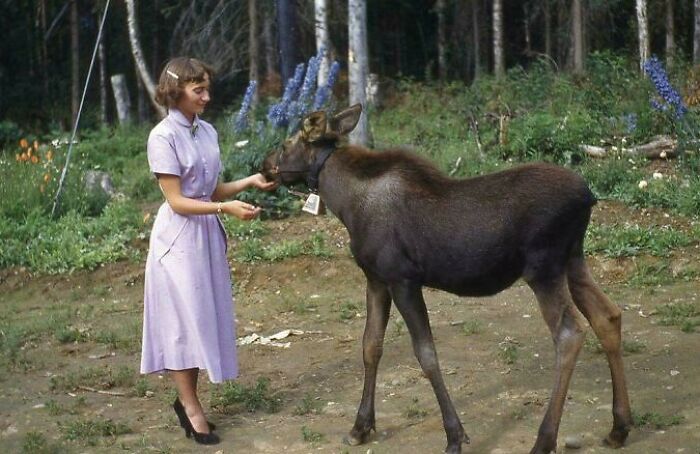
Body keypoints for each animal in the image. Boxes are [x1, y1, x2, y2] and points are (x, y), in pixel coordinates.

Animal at [260, 104, 632, 454]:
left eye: (286, 143)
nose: (265, 164)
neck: (346, 204)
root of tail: (589, 197)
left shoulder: (403, 279)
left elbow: (426, 355)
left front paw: (455, 436)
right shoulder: (376, 280)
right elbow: (370, 346)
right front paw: (360, 427)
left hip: (544, 267)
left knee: (569, 333)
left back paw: (544, 440)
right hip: (574, 260)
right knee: (608, 315)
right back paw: (619, 427)